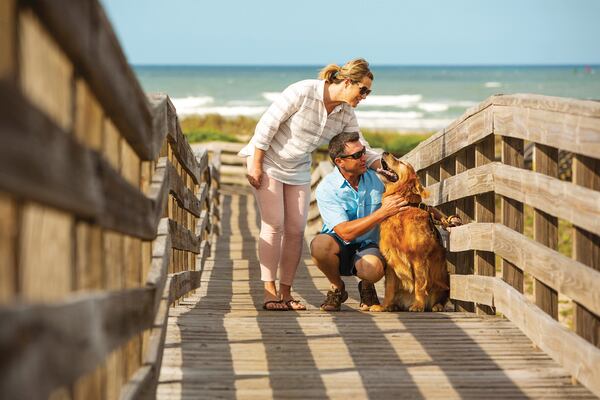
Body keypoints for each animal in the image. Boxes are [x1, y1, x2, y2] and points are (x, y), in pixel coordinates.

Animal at [370, 153, 450, 312]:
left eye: (401, 162)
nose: (385, 152)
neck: (403, 207)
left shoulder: (418, 258)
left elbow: (419, 284)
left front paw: (418, 305)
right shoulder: (390, 259)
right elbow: (389, 288)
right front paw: (384, 306)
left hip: (444, 280)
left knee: (441, 297)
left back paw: (436, 306)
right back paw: (393, 306)